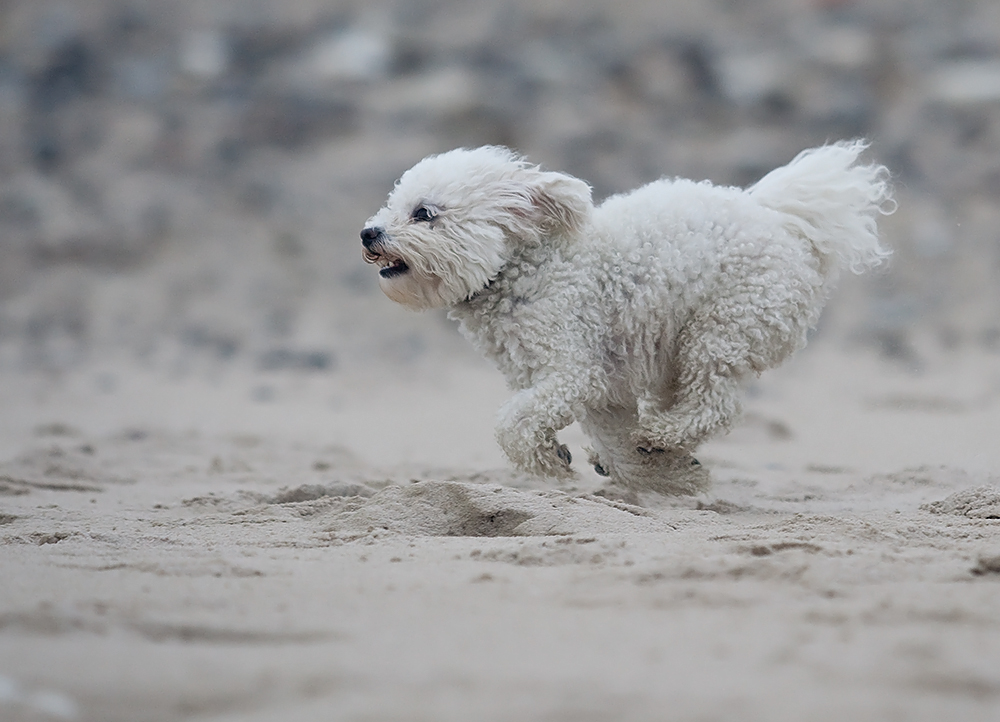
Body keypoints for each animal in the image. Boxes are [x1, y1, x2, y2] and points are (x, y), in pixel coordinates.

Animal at [364, 139, 896, 496]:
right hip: (682, 354)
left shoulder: (575, 371)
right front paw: (667, 475)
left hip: (723, 328)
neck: (518, 267)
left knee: (714, 404)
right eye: (392, 203)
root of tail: (783, 219)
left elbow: (513, 423)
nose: (368, 232)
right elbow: (613, 445)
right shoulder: (600, 388)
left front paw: (553, 461)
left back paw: (660, 435)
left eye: (424, 213)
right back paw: (660, 446)